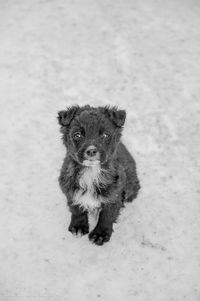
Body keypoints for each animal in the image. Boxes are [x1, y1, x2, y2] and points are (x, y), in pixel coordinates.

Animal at [57, 104, 140, 245]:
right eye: (77, 135)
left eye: (106, 135)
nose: (91, 151)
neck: (91, 171)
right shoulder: (70, 189)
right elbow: (76, 208)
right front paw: (79, 226)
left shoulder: (114, 195)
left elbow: (107, 215)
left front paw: (100, 234)